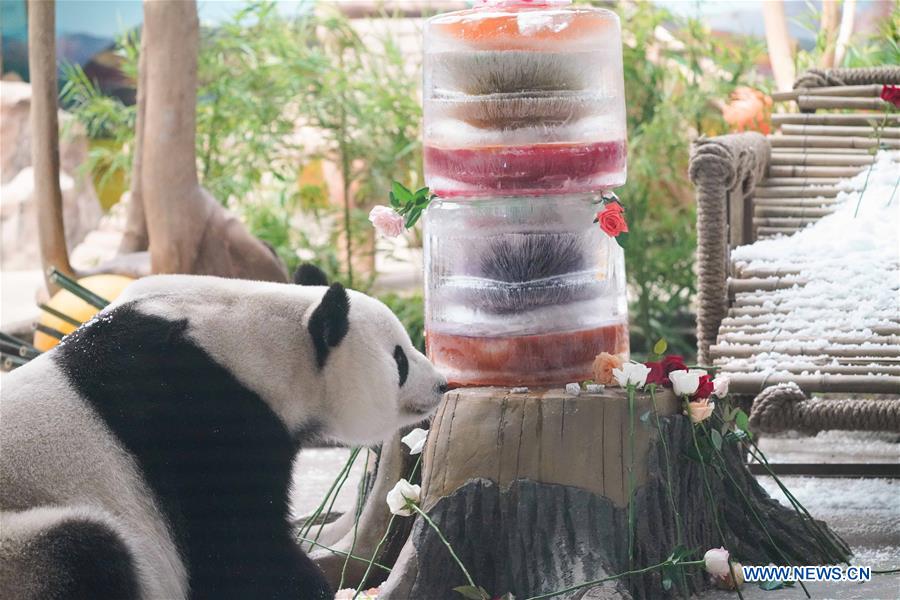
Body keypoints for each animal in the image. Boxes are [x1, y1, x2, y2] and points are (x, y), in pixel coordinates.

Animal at [0, 265, 447, 600]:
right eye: (399, 359)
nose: (441, 384)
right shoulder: (199, 420)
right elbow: (239, 549)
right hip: (23, 551)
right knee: (84, 550)